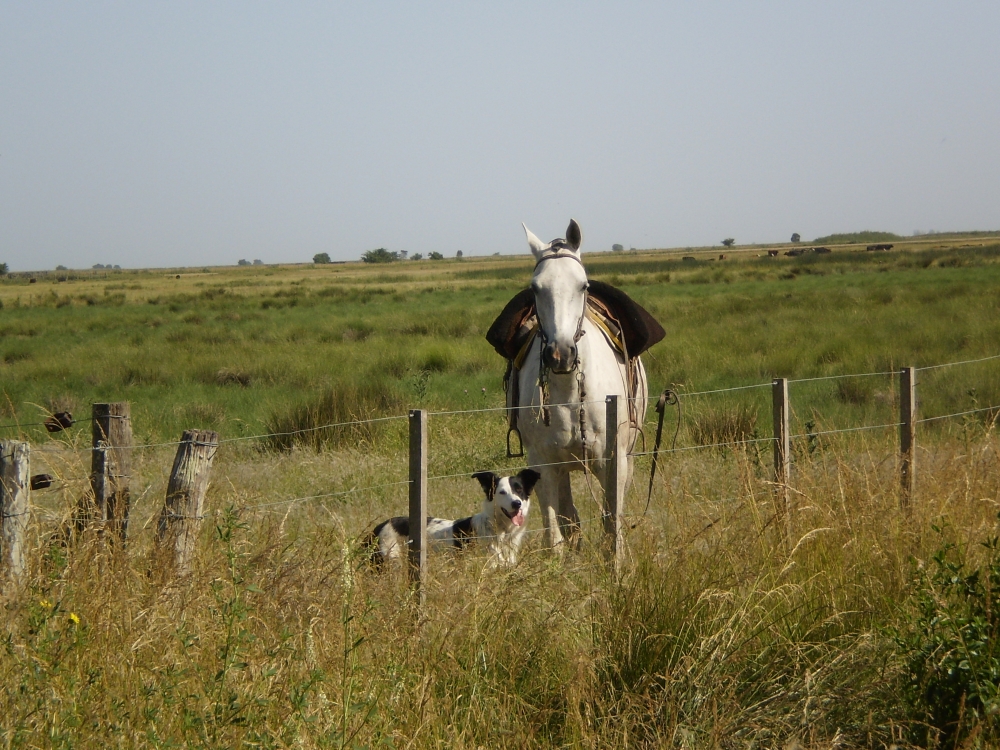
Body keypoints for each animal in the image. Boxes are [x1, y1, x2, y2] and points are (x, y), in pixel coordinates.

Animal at [512, 220, 644, 548]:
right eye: (535, 288)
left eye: (583, 285)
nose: (560, 354)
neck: (569, 390)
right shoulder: (543, 465)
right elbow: (554, 532)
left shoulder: (613, 462)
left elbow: (612, 523)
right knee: (568, 516)